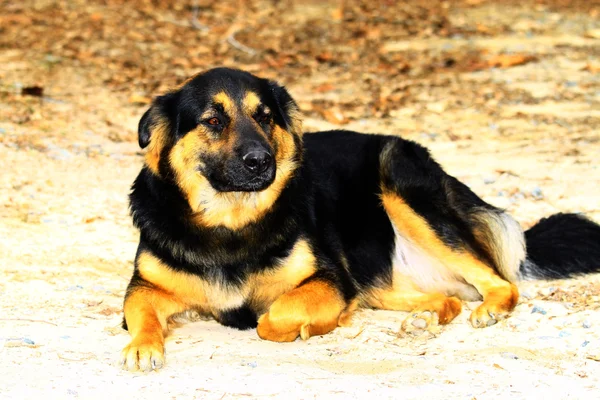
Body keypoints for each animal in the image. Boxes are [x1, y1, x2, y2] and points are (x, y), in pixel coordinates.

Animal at [120, 68, 600, 372]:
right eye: (213, 121)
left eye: (265, 117)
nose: (261, 161)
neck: (230, 223)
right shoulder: (145, 287)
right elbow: (139, 313)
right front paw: (141, 347)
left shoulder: (330, 279)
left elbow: (273, 316)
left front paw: (317, 325)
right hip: (377, 271)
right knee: (444, 297)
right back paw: (425, 316)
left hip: (399, 183)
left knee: (500, 281)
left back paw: (490, 307)